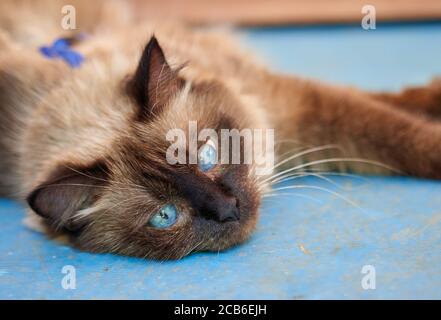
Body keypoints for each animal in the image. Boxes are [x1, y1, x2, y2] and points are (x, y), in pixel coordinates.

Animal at [0, 0, 440, 260]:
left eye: (209, 155)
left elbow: (397, 123)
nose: (229, 209)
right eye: (165, 216)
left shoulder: (292, 105)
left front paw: (430, 102)